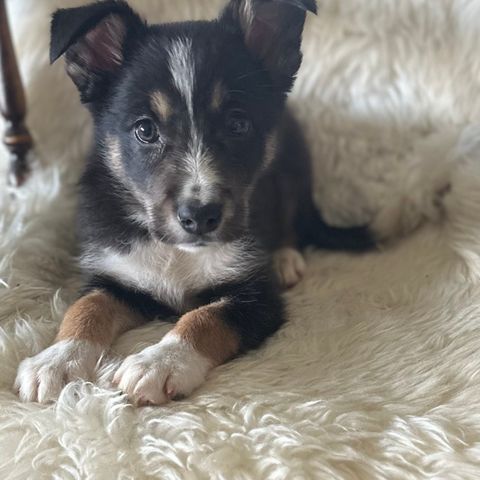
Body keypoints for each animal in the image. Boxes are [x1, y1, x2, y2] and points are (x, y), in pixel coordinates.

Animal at [15, 0, 376, 404]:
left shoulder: (257, 298)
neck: (176, 252)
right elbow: (85, 307)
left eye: (238, 124)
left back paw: (285, 259)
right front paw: (56, 359)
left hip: (293, 169)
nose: (200, 217)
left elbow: (204, 318)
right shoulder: (117, 276)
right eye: (145, 130)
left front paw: (160, 363)